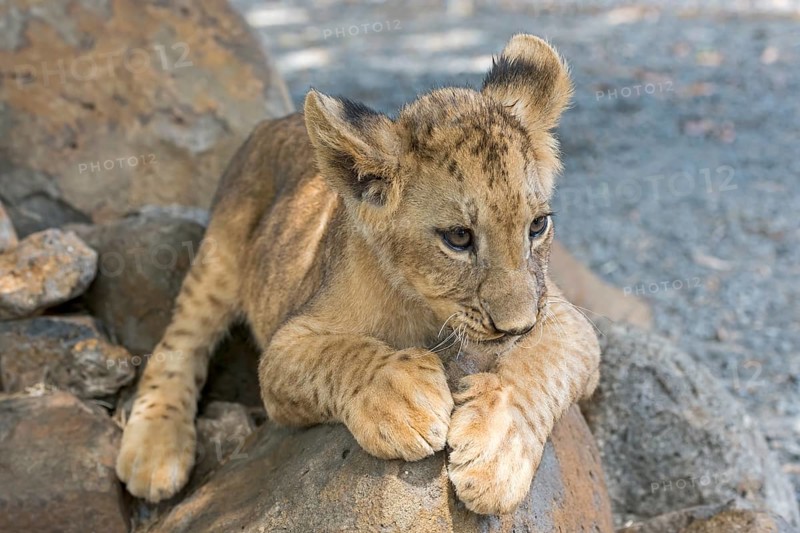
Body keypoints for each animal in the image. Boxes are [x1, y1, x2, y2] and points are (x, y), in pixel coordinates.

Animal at [115, 34, 601, 515]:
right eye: (459, 237)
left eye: (537, 226)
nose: (518, 326)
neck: (426, 307)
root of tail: (273, 122)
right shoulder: (282, 348)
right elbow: (340, 355)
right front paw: (401, 398)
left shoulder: (566, 319)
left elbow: (538, 368)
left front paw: (497, 453)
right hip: (219, 254)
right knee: (179, 344)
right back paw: (155, 453)